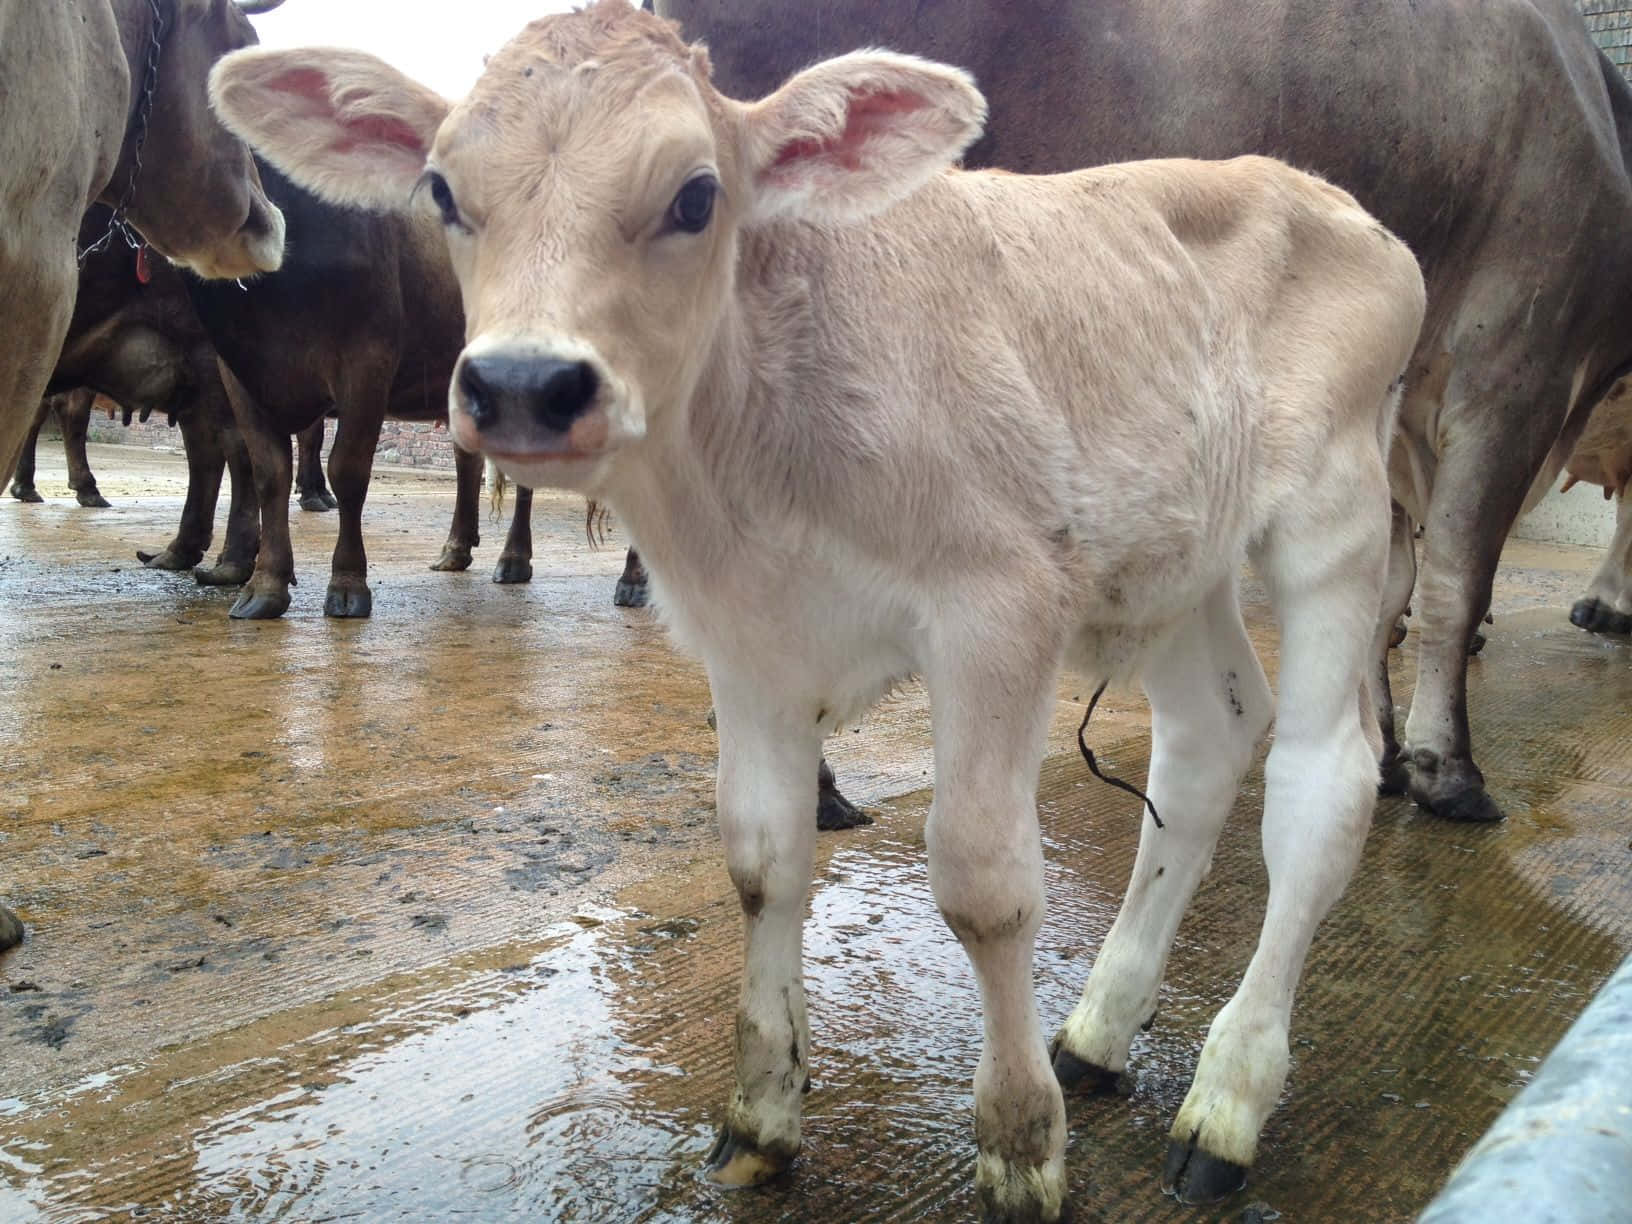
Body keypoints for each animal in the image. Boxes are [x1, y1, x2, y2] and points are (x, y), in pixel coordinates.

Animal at [210, 2, 1427, 1215]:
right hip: (1170, 559)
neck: (772, 445)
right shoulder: (748, 642)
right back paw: (1099, 1030)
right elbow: (761, 862)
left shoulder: (1000, 603)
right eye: (443, 191)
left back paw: (1226, 1101)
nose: (521, 384)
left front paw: (1020, 1139)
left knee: (1322, 782)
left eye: (696, 197)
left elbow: (985, 885)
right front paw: (763, 1115)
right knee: (1209, 734)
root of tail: (1328, 199)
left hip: (1337, 509)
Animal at [640, 0, 1632, 830]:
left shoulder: (1377, 418)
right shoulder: (1517, 363)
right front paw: (1447, 768)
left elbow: (1390, 592)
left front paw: (1389, 751)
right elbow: (1457, 585)